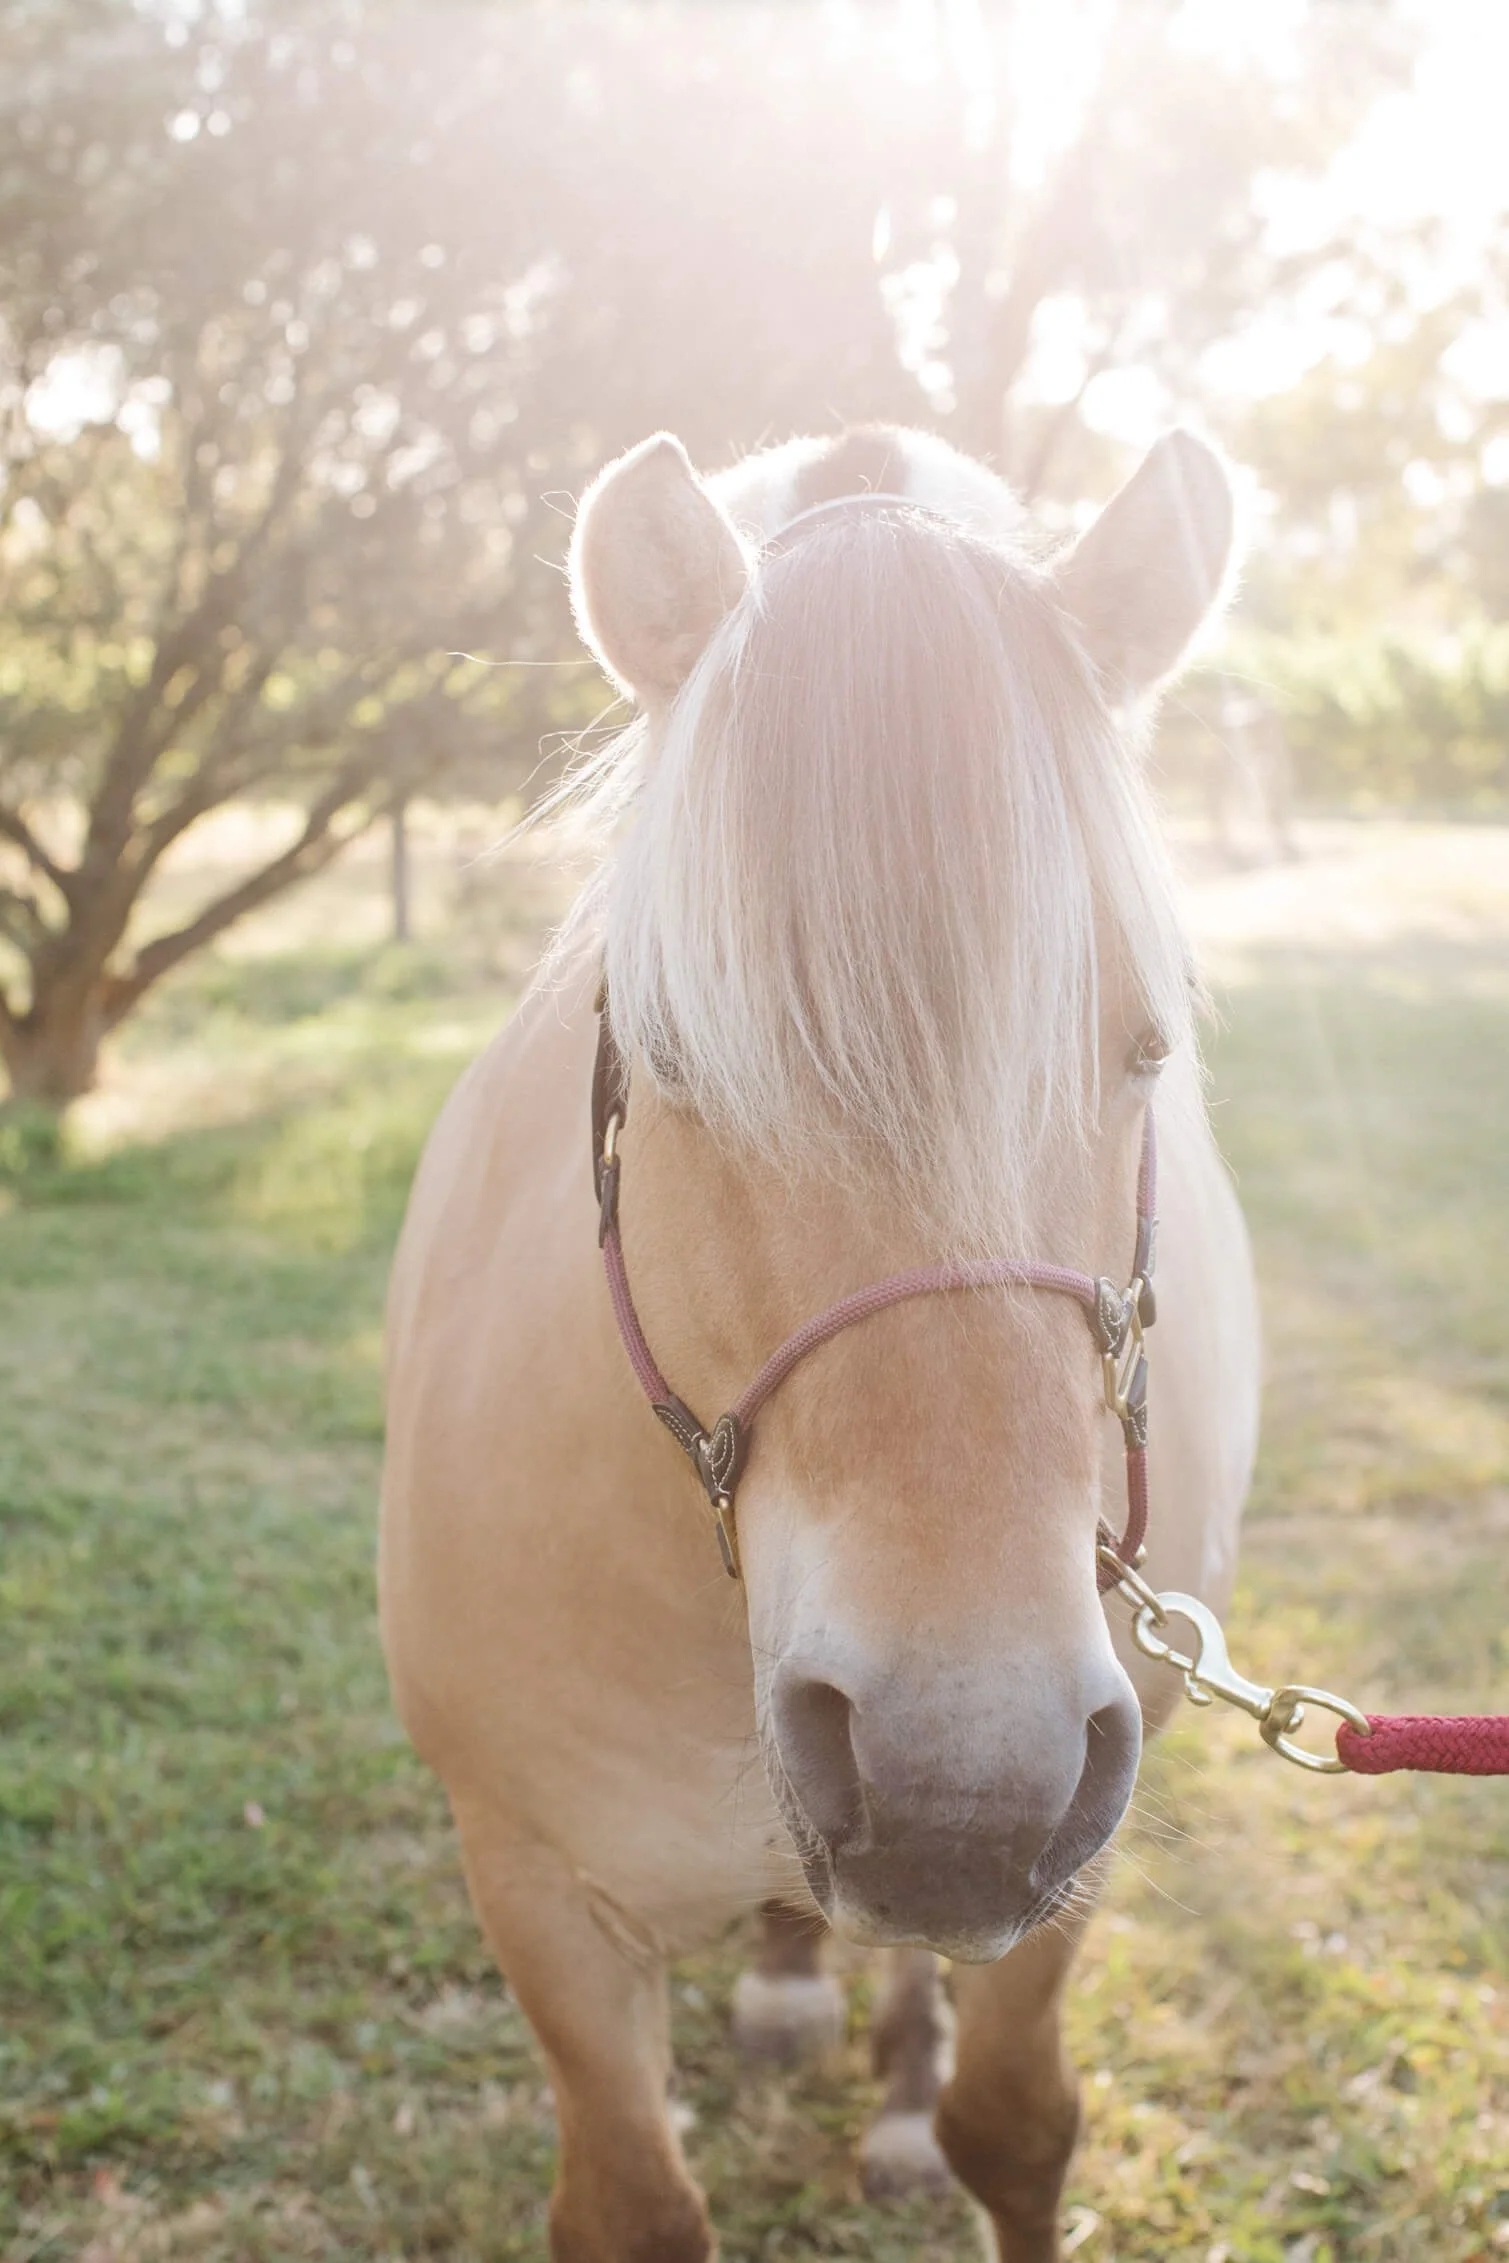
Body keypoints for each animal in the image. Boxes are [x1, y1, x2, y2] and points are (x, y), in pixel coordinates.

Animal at [379, 420, 1260, 2261]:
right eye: (663, 1042)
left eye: (1148, 1047)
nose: (958, 1779)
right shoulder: (534, 1880)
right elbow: (633, 2202)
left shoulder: (1069, 1849)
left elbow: (1017, 2122)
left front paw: (942, 2102)